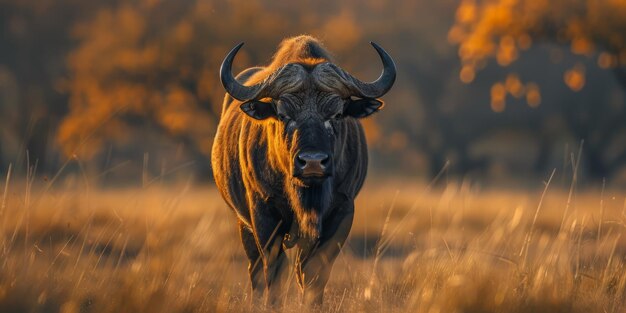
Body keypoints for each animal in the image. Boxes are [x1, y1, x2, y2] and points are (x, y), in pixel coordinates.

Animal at [210, 35, 394, 306]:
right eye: (283, 114)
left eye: (337, 114)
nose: (313, 162)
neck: (306, 193)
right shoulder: (263, 212)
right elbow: (274, 272)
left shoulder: (342, 211)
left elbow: (314, 272)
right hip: (243, 223)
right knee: (256, 269)